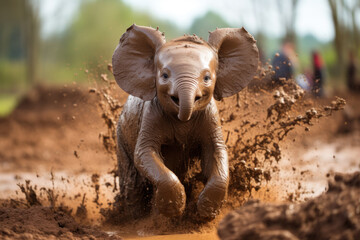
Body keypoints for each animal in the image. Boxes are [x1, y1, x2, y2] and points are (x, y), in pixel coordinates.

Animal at [112, 24, 258, 219]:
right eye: (164, 76)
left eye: (207, 78)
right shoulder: (151, 114)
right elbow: (144, 152)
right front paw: (173, 210)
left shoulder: (210, 115)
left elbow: (216, 152)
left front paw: (205, 211)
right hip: (121, 137)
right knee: (133, 183)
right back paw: (136, 219)